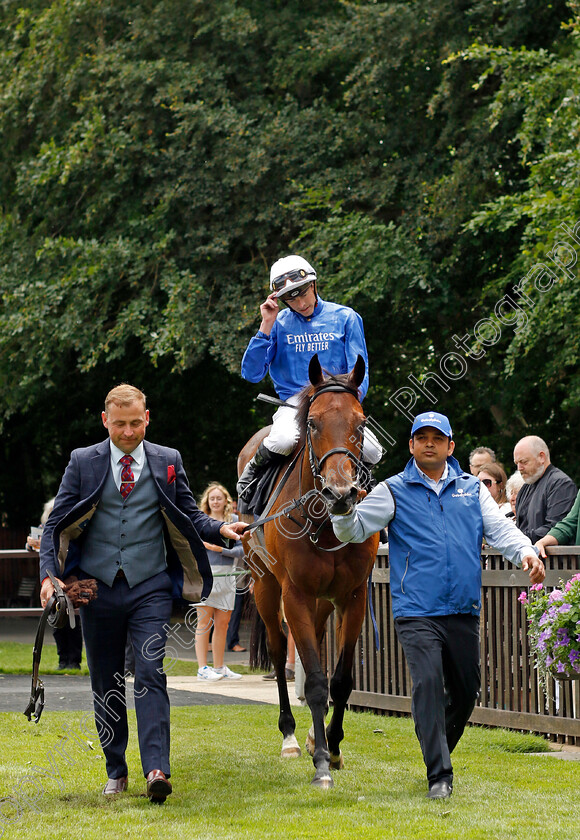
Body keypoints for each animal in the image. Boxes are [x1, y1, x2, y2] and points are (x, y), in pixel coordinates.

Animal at [237, 352, 378, 788]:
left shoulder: (352, 595)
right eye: (313, 423)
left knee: (310, 640)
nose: (340, 493)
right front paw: (320, 764)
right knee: (279, 648)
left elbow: (341, 679)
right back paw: (290, 737)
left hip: (322, 601)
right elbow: (314, 680)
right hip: (267, 590)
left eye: (360, 423)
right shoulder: (294, 593)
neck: (324, 521)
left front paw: (333, 747)